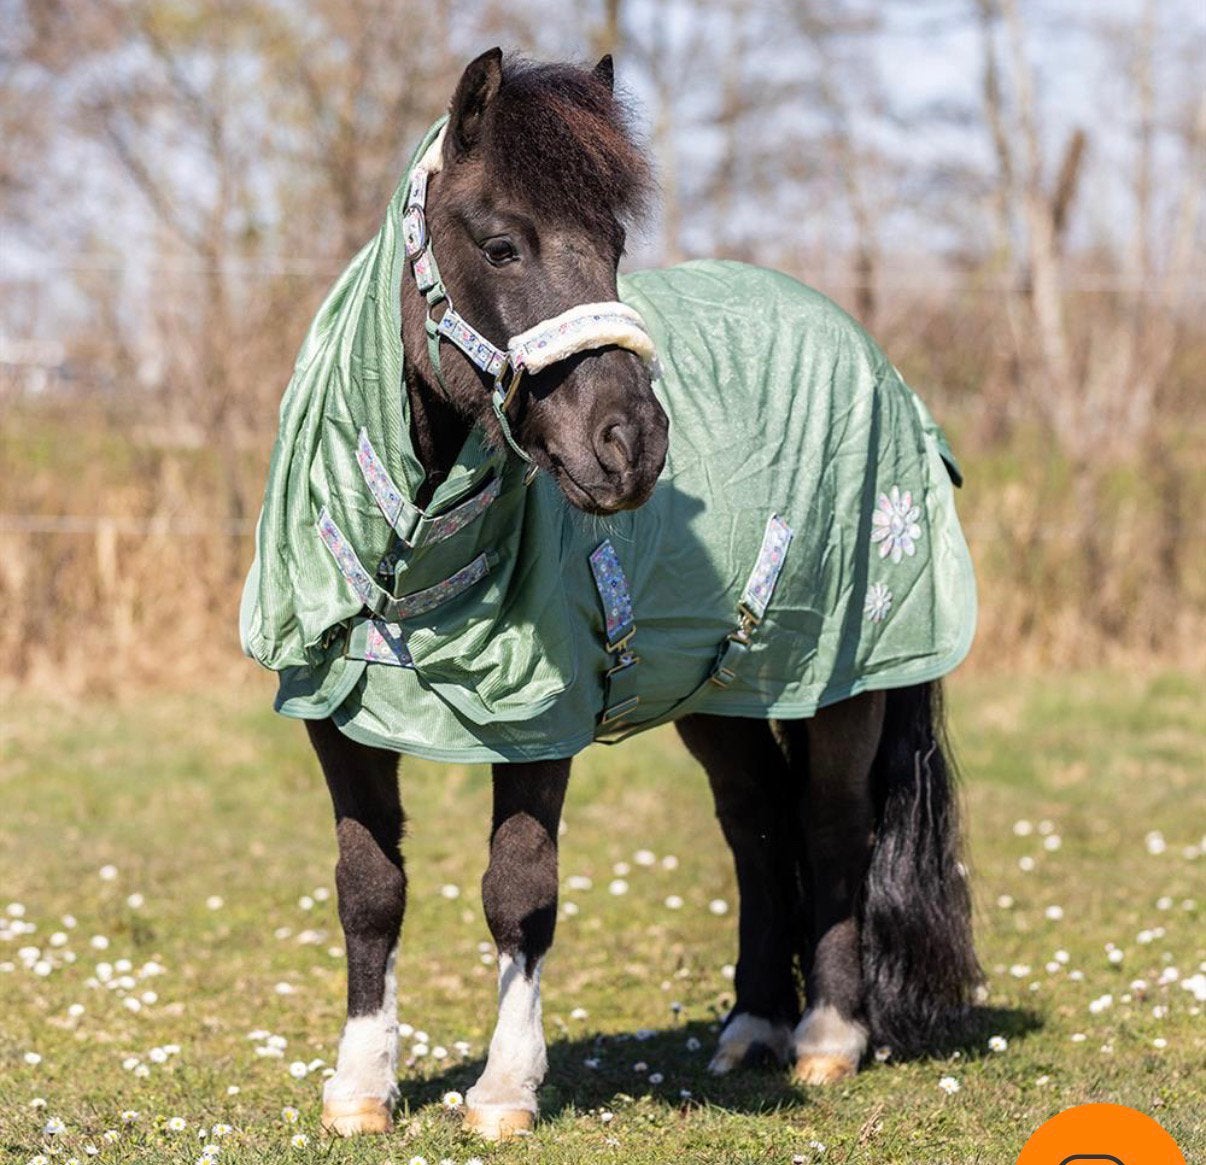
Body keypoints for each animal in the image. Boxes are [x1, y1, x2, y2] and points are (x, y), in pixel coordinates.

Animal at [241, 49, 981, 1141]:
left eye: (615, 245)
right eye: (501, 243)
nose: (630, 444)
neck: (410, 544)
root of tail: (875, 360)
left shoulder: (538, 723)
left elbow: (520, 892)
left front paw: (504, 1090)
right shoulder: (338, 717)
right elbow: (369, 889)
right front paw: (360, 1087)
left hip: (849, 676)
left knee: (832, 824)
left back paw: (826, 1039)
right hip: (719, 691)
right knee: (757, 825)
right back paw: (752, 1027)